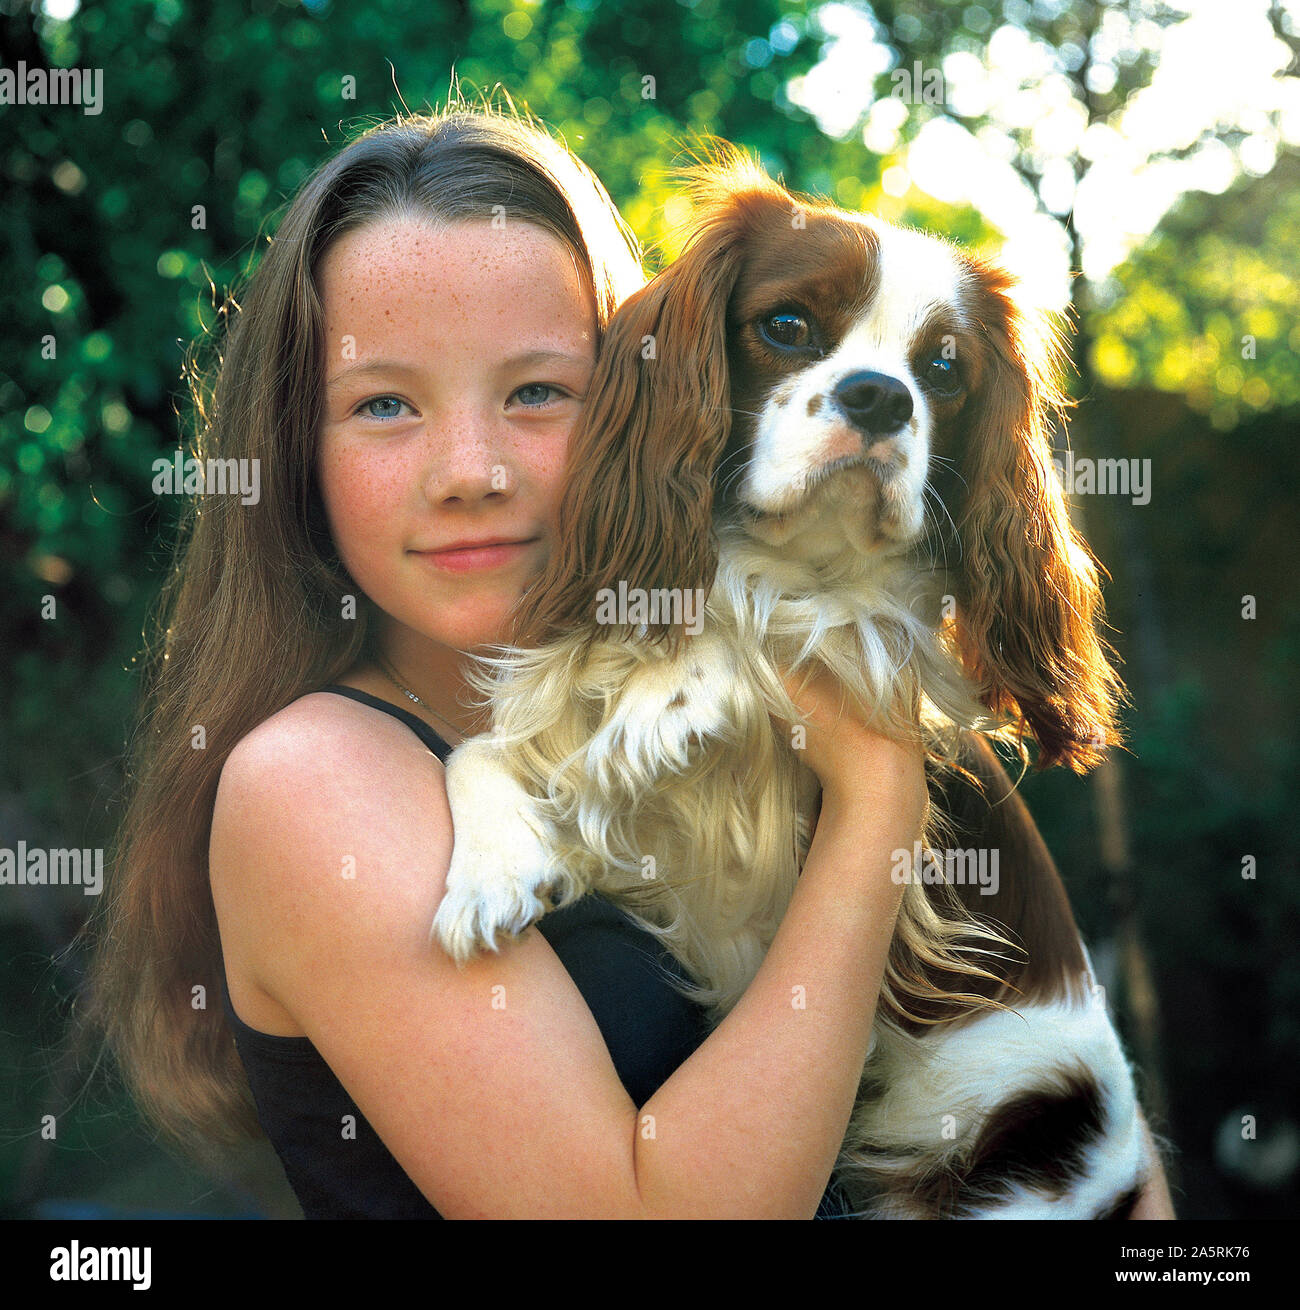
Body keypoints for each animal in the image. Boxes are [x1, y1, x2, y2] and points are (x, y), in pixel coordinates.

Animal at [429, 143, 1147, 1215]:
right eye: (787, 326)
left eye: (944, 369)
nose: (880, 396)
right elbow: (484, 750)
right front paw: (491, 870)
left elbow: (804, 630)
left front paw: (679, 693)